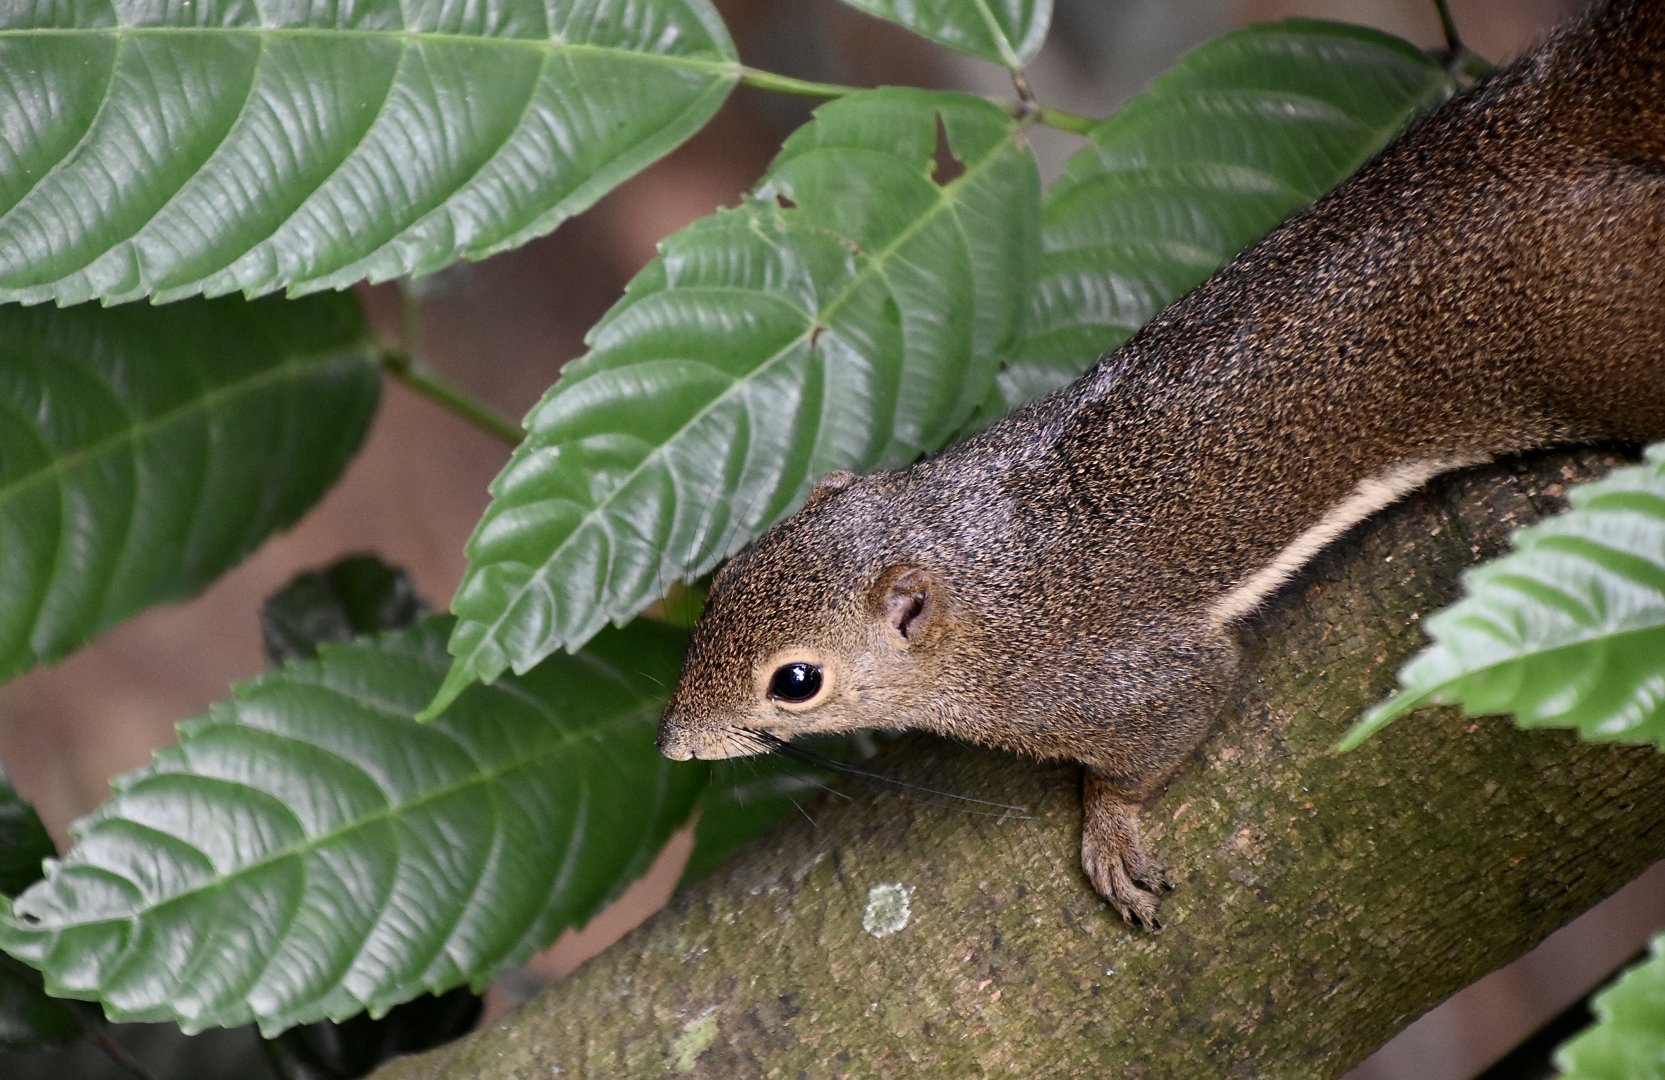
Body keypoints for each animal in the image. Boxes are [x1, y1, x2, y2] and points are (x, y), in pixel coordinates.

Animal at [657, 0, 1665, 930]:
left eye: (795, 683)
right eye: (723, 582)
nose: (672, 741)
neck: (970, 553)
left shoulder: (1110, 677)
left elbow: (1173, 720)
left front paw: (1109, 826)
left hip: (1597, 327)